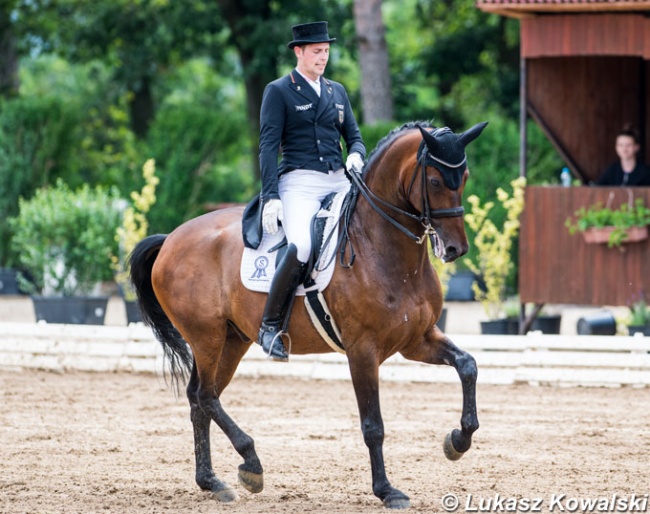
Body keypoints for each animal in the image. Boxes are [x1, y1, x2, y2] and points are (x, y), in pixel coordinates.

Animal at [129, 121, 486, 508]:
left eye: (464, 177)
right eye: (434, 181)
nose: (455, 249)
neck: (381, 247)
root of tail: (171, 239)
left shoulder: (417, 339)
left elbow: (467, 365)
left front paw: (457, 441)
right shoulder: (363, 350)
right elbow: (373, 425)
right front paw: (387, 490)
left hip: (231, 340)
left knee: (200, 399)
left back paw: (212, 481)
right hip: (205, 337)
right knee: (206, 396)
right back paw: (251, 464)